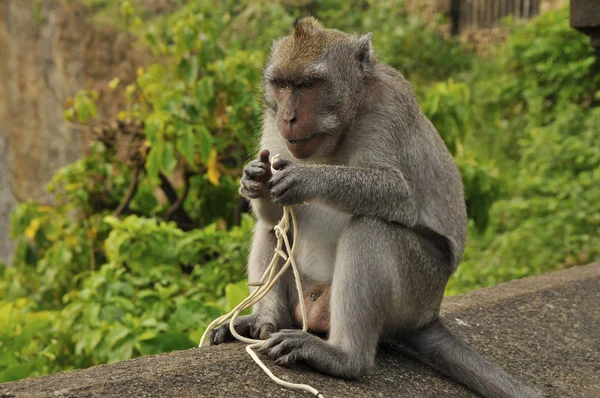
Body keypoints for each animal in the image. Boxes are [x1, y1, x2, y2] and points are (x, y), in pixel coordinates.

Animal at [211, 16, 544, 398]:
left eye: (309, 85)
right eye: (281, 85)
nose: (289, 117)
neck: (343, 126)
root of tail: (429, 315)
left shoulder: (390, 105)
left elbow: (401, 195)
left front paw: (305, 179)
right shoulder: (271, 119)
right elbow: (273, 216)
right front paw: (254, 179)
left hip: (418, 290)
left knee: (372, 228)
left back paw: (343, 357)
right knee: (273, 230)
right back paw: (265, 322)